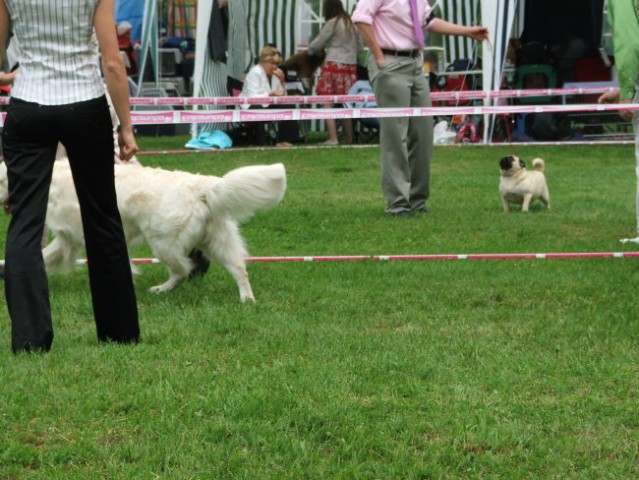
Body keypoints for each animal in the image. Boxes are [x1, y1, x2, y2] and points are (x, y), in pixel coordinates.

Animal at [0, 159, 286, 300]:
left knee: (183, 270)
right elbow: (45, 257)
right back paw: (246, 299)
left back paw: (160, 290)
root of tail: (201, 185)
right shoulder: (67, 239)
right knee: (238, 268)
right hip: (216, 239)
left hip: (162, 242)